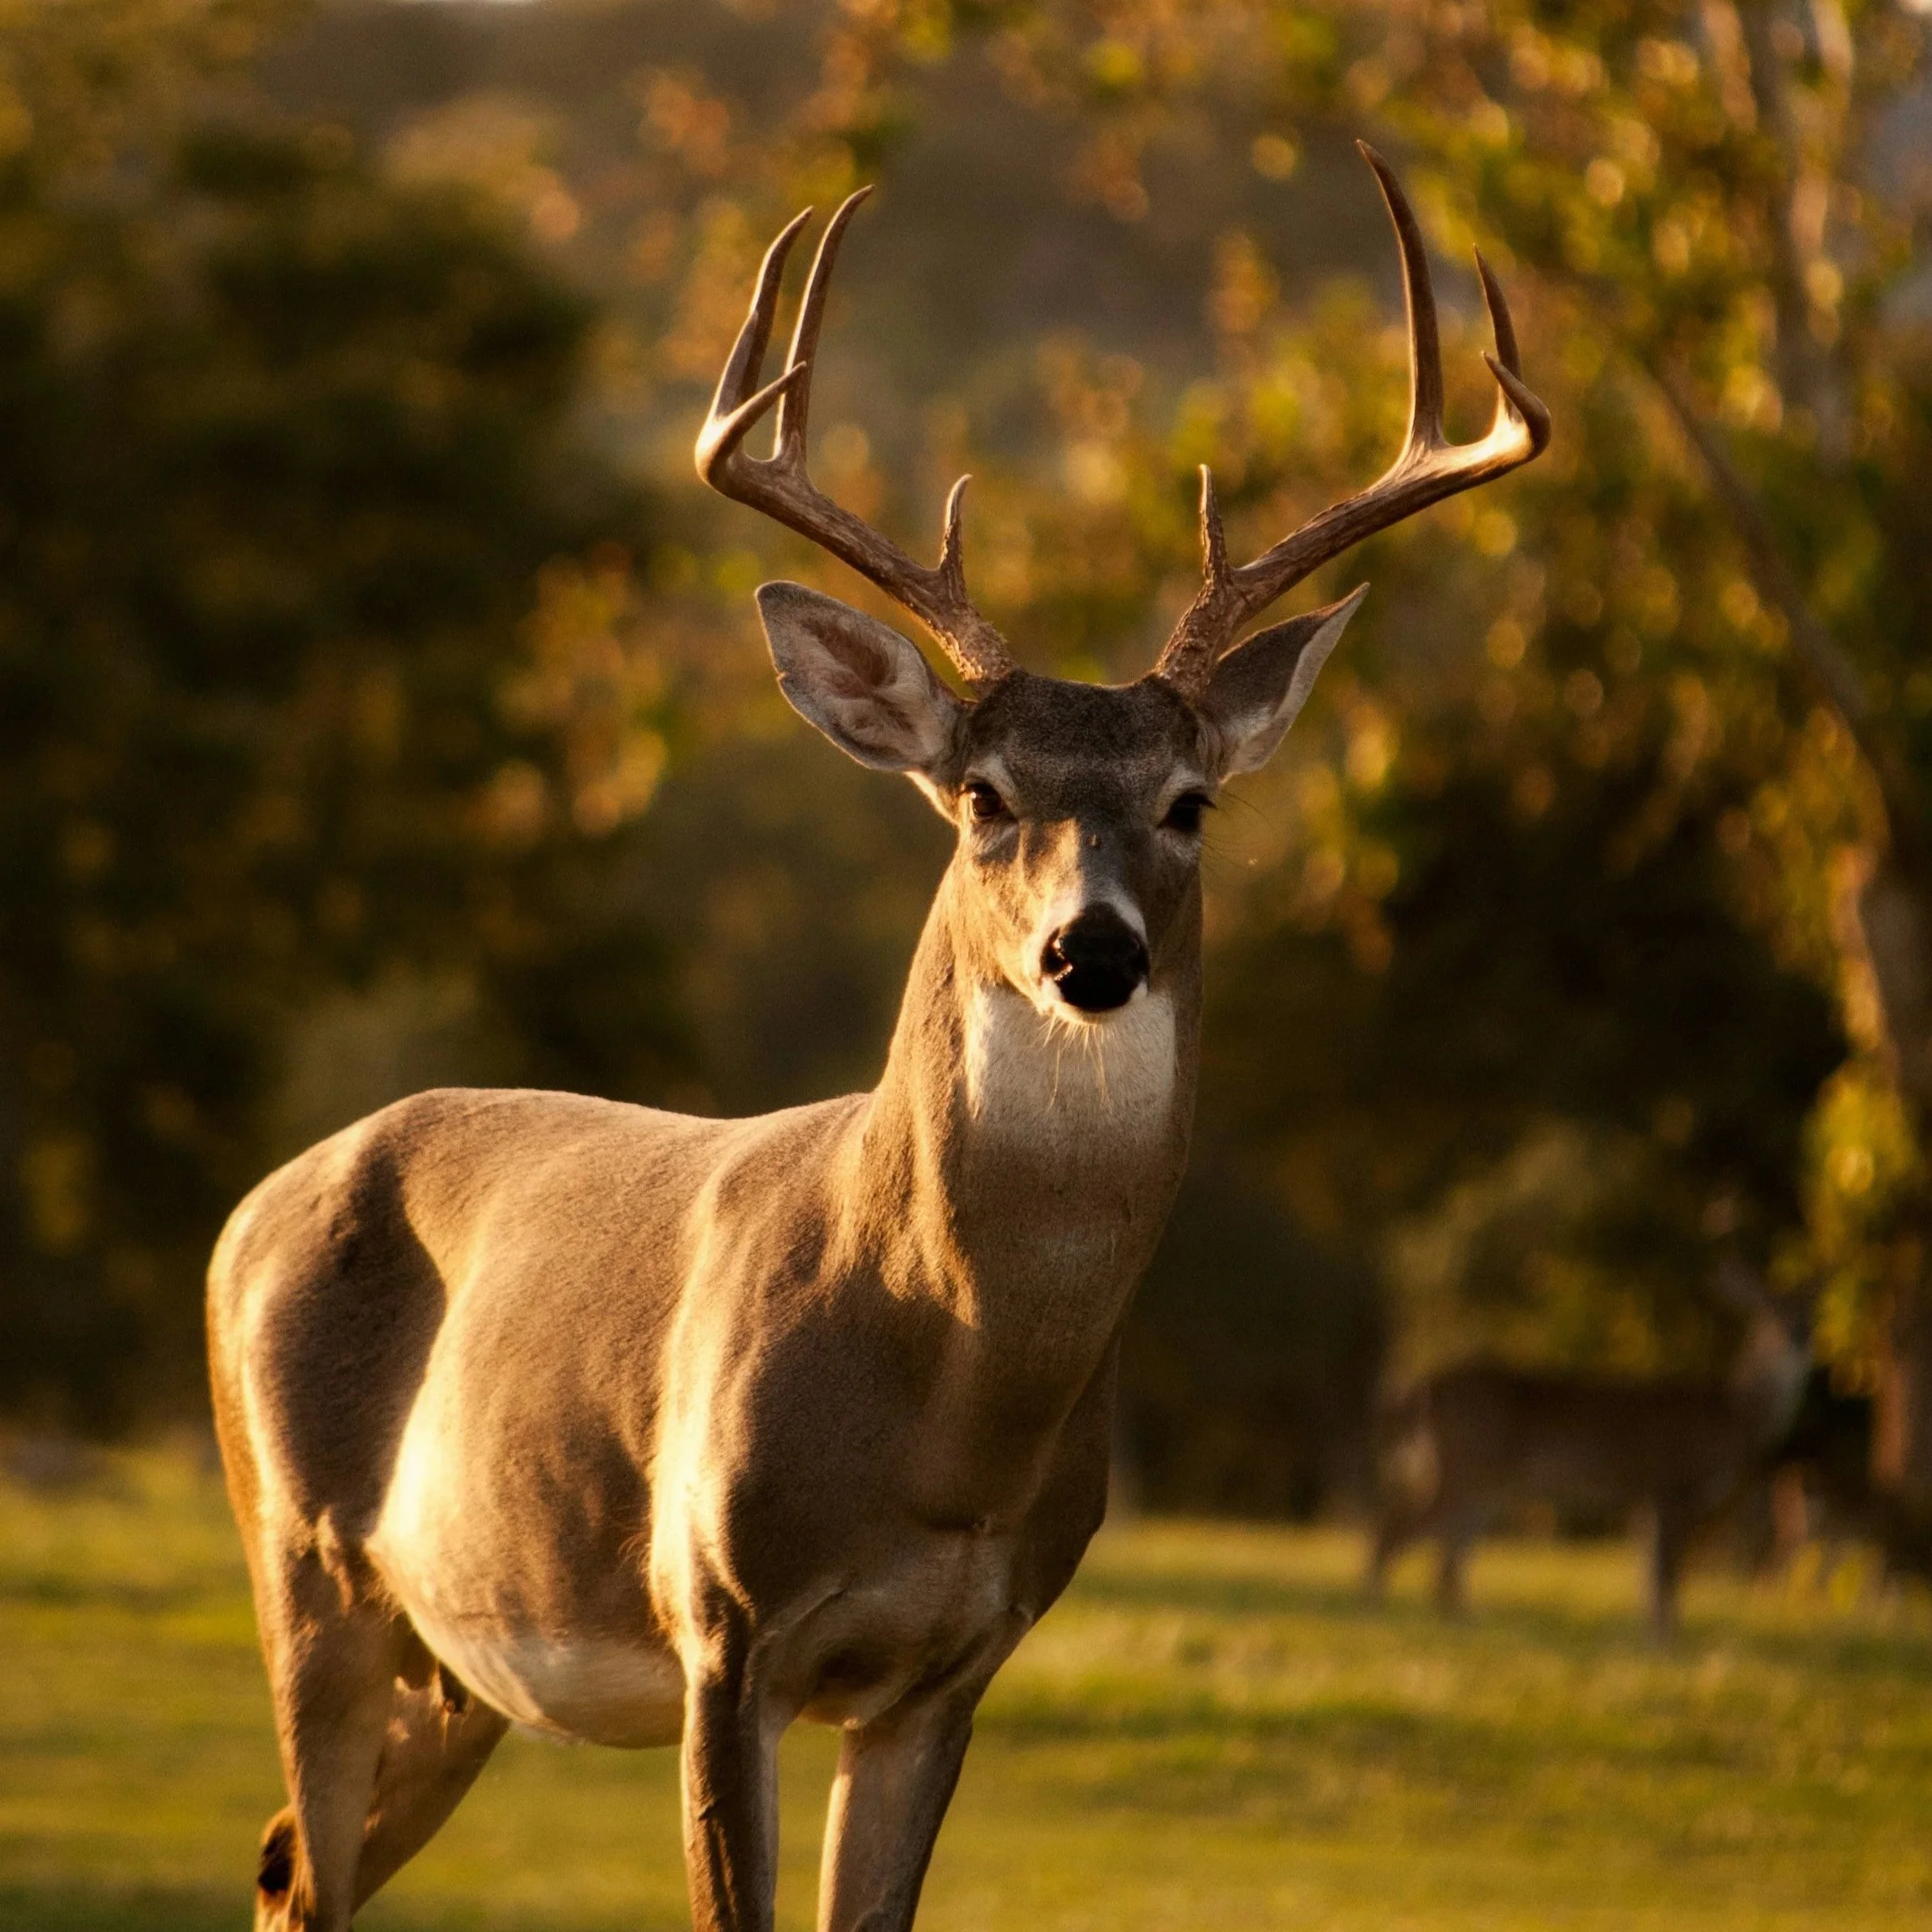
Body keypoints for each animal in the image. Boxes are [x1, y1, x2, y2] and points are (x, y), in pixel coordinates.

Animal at [207, 148, 1546, 1932]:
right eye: (982, 796)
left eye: (1190, 803)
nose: (1091, 950)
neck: (948, 1400)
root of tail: (251, 1208)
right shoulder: (723, 1625)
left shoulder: (952, 1669)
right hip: (301, 1563)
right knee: (301, 1848)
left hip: (458, 1661)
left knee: (299, 1863)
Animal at [1365, 1262, 1811, 1639]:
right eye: (1769, 1311)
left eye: (1808, 1309)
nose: (1800, 1335)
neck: (1732, 1415)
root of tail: (1418, 1391)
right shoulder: (1669, 1484)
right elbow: (1665, 1575)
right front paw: (1666, 1641)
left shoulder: (1645, 1498)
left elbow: (1649, 1574)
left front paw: (1650, 1638)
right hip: (1466, 1467)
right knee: (1398, 1531)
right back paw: (1375, 1609)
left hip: (1480, 1483)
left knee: (1445, 1557)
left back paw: (1463, 1623)